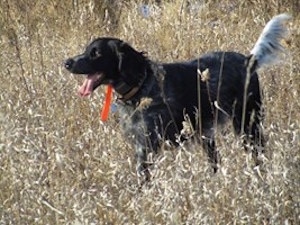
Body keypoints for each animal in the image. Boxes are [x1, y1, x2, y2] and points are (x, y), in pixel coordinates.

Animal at [65, 14, 290, 180]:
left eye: (96, 53)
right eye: (87, 50)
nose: (67, 62)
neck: (142, 85)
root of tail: (249, 60)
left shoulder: (147, 146)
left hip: (247, 126)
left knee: (258, 155)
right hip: (208, 135)